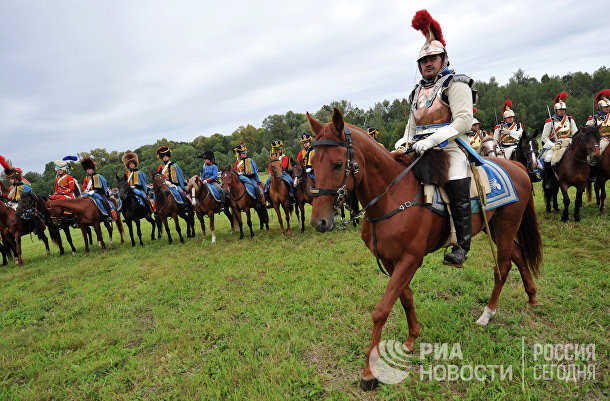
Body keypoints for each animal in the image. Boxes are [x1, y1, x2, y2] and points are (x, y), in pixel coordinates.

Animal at [306, 108, 540, 390]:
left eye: (338, 164)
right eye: (313, 165)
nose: (319, 221)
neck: (391, 196)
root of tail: (517, 167)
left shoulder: (410, 258)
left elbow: (382, 309)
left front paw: (369, 373)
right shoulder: (392, 261)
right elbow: (405, 298)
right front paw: (411, 339)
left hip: (506, 226)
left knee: (502, 267)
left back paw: (488, 313)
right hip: (493, 227)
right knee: (518, 255)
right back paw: (532, 296)